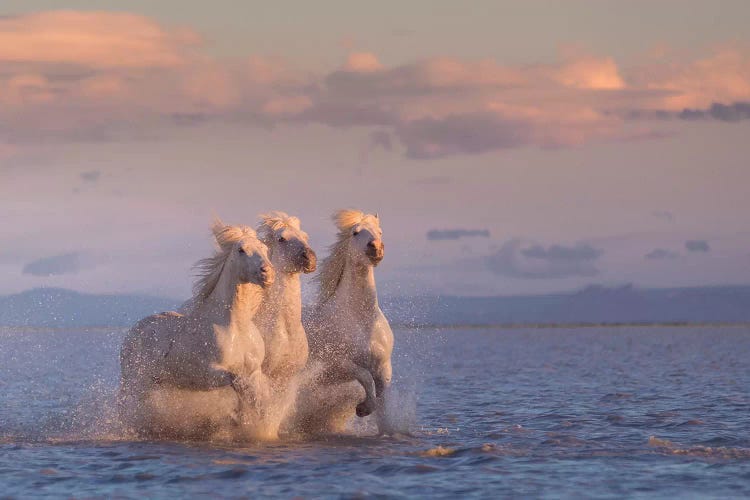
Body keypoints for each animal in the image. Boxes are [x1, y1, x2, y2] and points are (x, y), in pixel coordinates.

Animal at [119, 221, 278, 440]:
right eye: (241, 250)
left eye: (264, 248)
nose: (267, 273)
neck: (236, 327)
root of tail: (132, 333)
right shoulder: (210, 374)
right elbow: (239, 383)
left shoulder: (254, 371)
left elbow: (259, 395)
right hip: (136, 383)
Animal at [298, 208, 396, 434]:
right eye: (355, 232)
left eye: (380, 231)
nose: (376, 248)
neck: (360, 320)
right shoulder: (339, 364)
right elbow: (365, 377)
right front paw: (363, 408)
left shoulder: (383, 366)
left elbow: (382, 397)